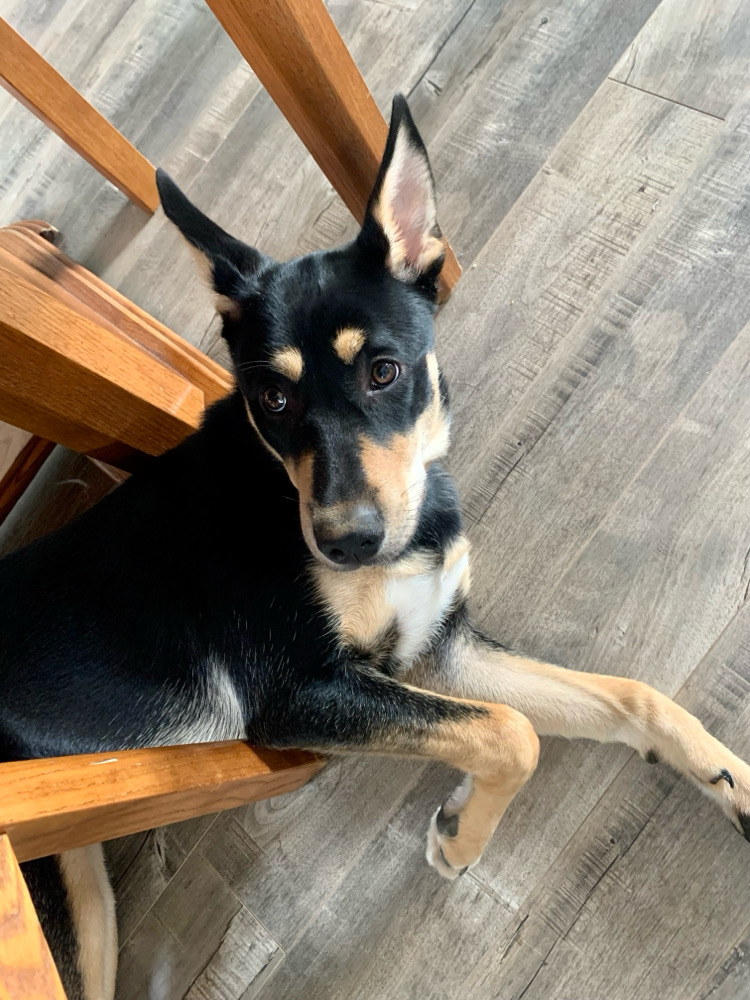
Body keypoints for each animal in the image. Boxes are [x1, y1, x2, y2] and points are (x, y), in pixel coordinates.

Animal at [1, 95, 749, 1000]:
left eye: (384, 372)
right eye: (272, 397)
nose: (345, 543)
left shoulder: (438, 651)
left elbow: (624, 698)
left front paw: (731, 779)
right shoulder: (299, 696)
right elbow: (513, 733)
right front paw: (463, 836)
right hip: (67, 905)